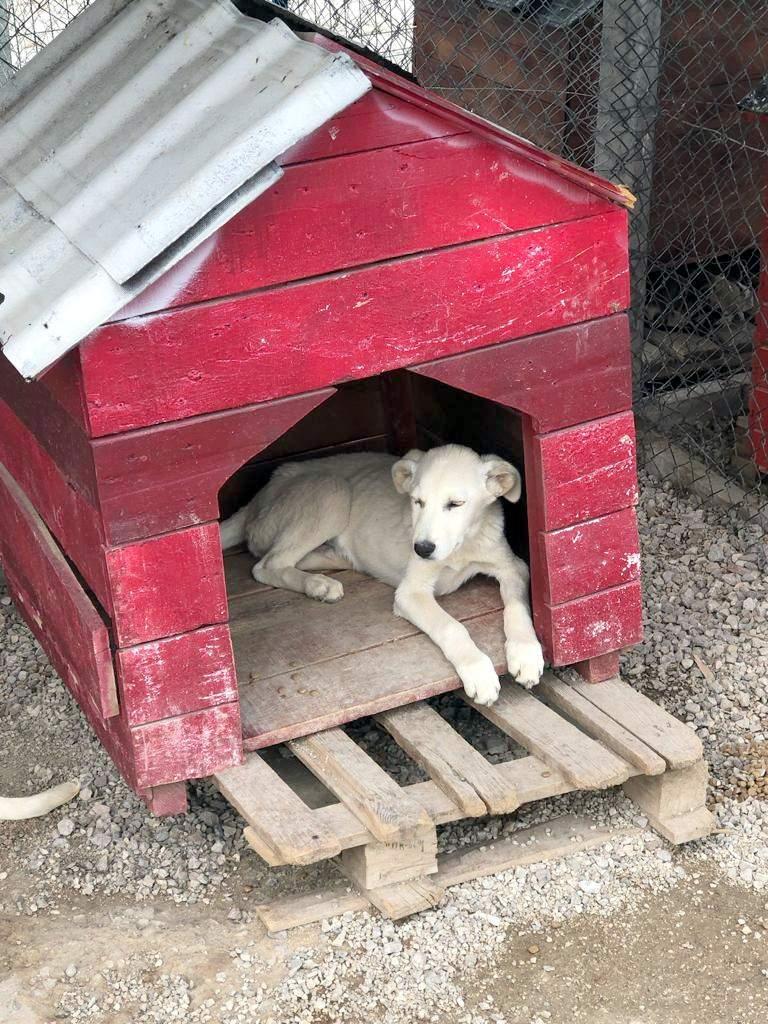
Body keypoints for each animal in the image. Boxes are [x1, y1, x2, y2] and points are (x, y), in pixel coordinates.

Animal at [221, 448, 548, 704]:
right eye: (417, 502)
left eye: (456, 504)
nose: (422, 548)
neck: (462, 547)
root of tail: (259, 495)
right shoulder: (411, 592)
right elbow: (452, 627)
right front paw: (478, 670)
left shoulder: (513, 566)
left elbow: (517, 606)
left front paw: (526, 654)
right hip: (331, 491)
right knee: (265, 564)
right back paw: (318, 585)